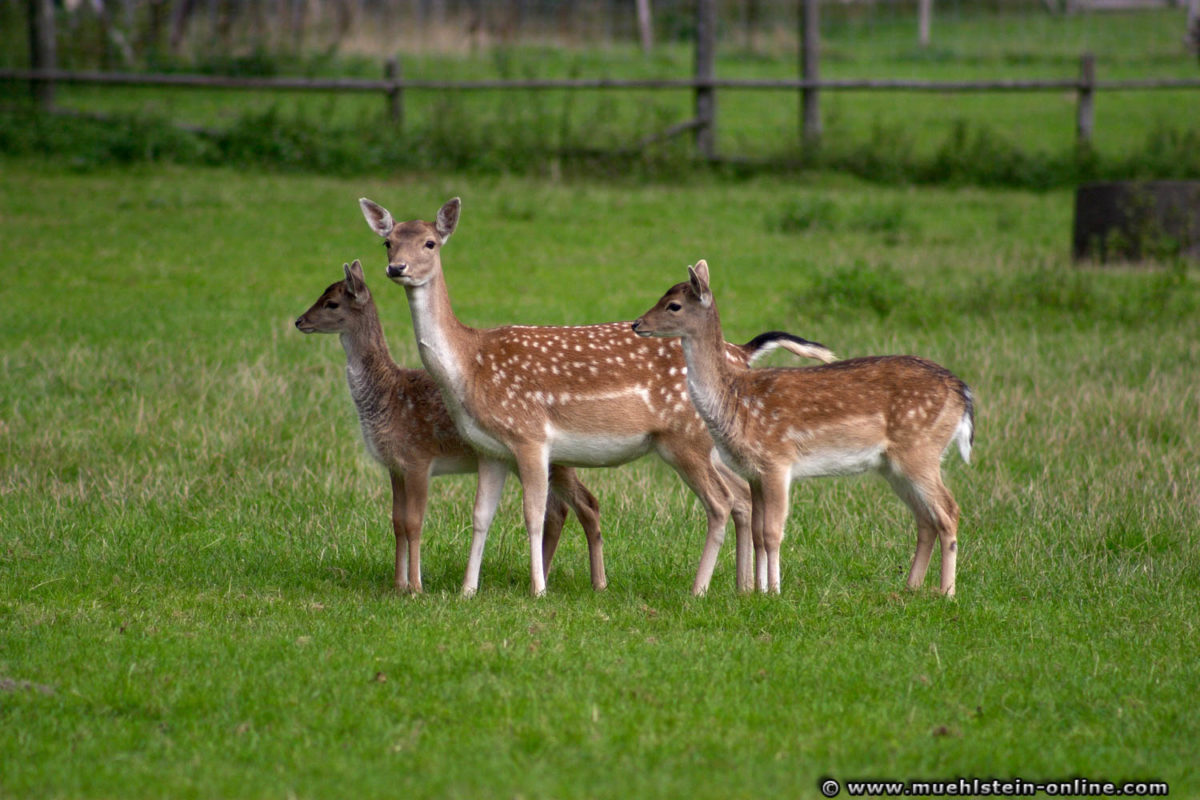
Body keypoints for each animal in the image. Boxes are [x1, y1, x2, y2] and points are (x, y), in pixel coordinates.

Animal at [296, 260, 604, 597]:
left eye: (331, 303)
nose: (299, 321)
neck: (387, 395)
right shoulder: (394, 466)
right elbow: (397, 522)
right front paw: (398, 584)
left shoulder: (418, 458)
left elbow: (414, 522)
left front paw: (416, 588)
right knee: (562, 510)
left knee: (583, 504)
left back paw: (590, 582)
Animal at [355, 197, 835, 597]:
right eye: (387, 242)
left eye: (431, 242)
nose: (397, 268)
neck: (470, 365)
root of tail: (742, 354)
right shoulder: (490, 450)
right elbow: (480, 516)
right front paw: (467, 592)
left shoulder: (530, 436)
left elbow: (532, 513)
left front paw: (538, 590)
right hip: (711, 445)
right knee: (740, 498)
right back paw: (742, 587)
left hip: (687, 439)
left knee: (722, 502)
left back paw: (705, 589)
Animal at [633, 261, 969, 594]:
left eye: (673, 305)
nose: (637, 323)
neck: (734, 402)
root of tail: (963, 393)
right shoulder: (753, 472)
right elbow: (758, 532)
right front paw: (760, 591)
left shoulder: (777, 461)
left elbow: (772, 532)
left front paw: (774, 591)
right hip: (894, 465)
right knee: (925, 518)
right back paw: (911, 588)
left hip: (920, 450)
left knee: (948, 510)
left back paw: (947, 593)